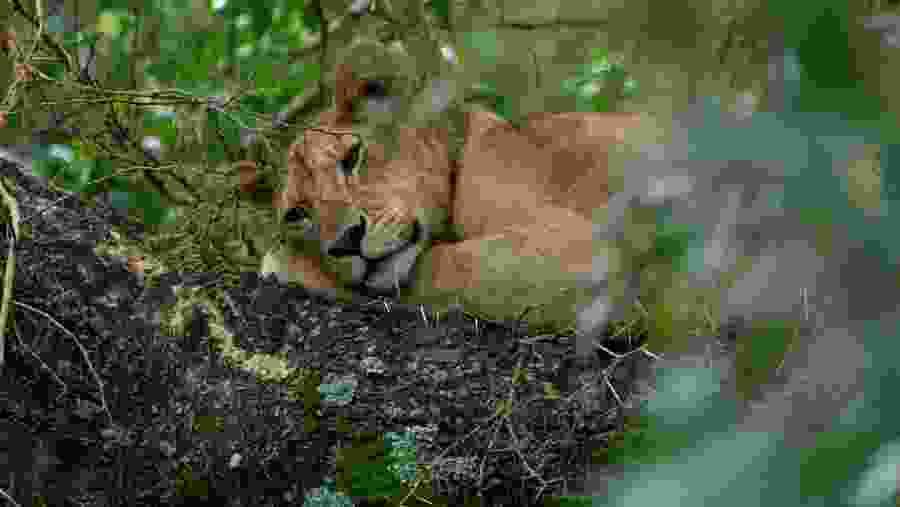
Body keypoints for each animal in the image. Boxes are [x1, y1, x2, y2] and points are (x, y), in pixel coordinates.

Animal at [239, 64, 649, 331]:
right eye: (297, 214)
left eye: (351, 157)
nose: (346, 242)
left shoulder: (580, 253)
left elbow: (443, 269)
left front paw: (288, 266)